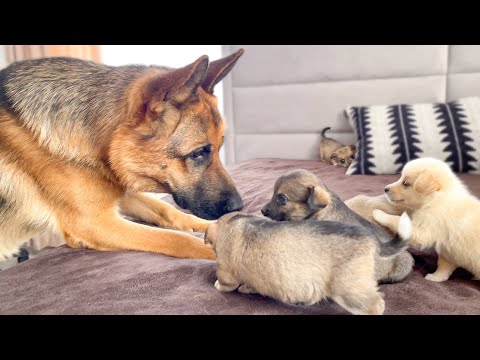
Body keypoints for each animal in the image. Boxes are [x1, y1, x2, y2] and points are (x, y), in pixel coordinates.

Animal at [0, 49, 246, 260]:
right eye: (198, 153)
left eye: (219, 148)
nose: (239, 207)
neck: (101, 137)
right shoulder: (95, 222)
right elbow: (178, 239)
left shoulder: (119, 189)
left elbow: (167, 210)